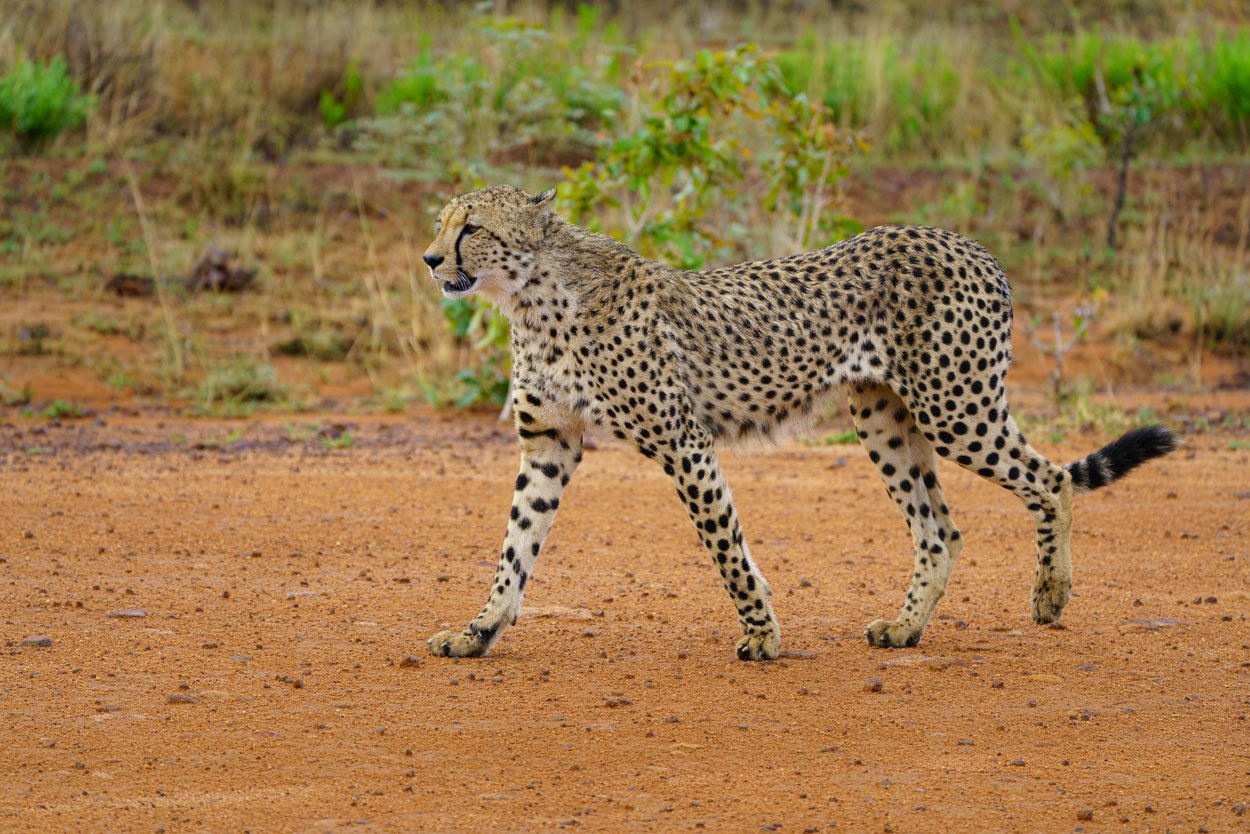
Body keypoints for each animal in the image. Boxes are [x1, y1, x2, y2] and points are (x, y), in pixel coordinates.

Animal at [425, 186, 1175, 660]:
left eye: (472, 228)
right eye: (441, 225)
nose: (431, 260)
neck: (533, 298)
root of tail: (968, 243)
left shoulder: (682, 440)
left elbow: (725, 545)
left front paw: (763, 635)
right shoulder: (549, 444)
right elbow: (515, 548)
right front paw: (479, 631)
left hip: (954, 405)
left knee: (1050, 479)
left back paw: (1051, 594)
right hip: (884, 417)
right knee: (940, 529)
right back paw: (905, 629)